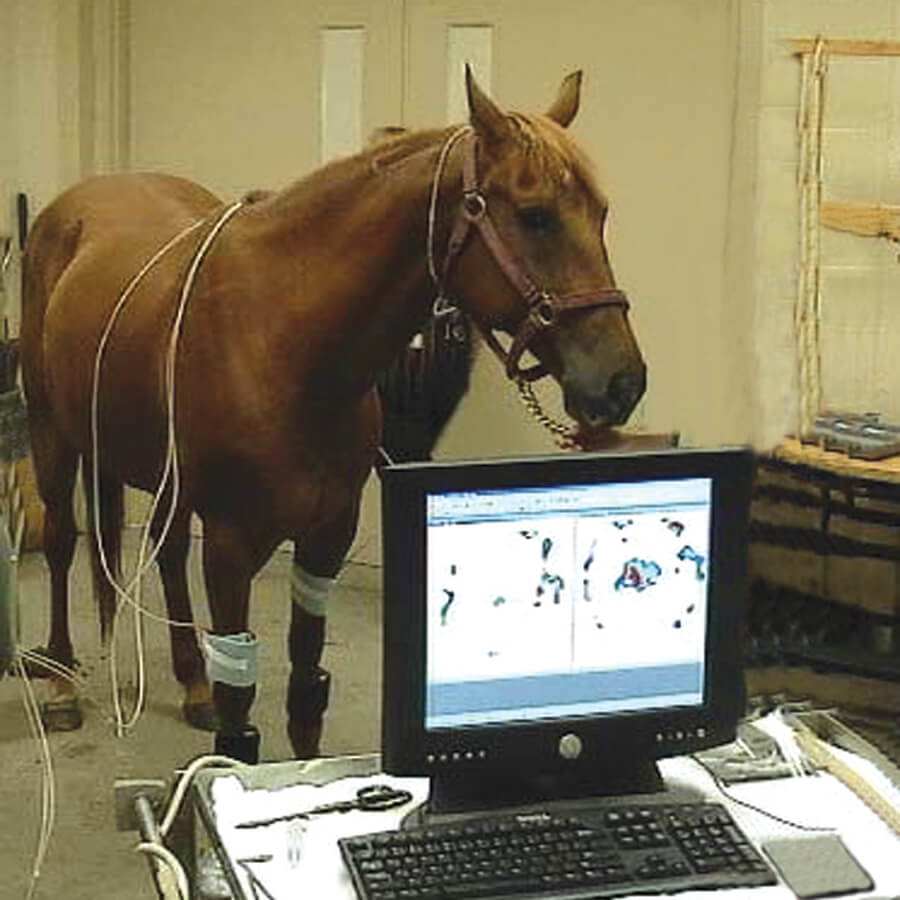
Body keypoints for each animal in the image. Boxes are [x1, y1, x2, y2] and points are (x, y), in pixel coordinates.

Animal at [20, 68, 646, 758]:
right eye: (536, 218)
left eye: (601, 214)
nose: (623, 381)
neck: (282, 343)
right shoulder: (231, 547)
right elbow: (241, 716)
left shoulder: (327, 536)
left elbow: (305, 696)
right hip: (52, 434)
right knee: (60, 541)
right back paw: (60, 683)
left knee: (168, 549)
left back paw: (191, 684)